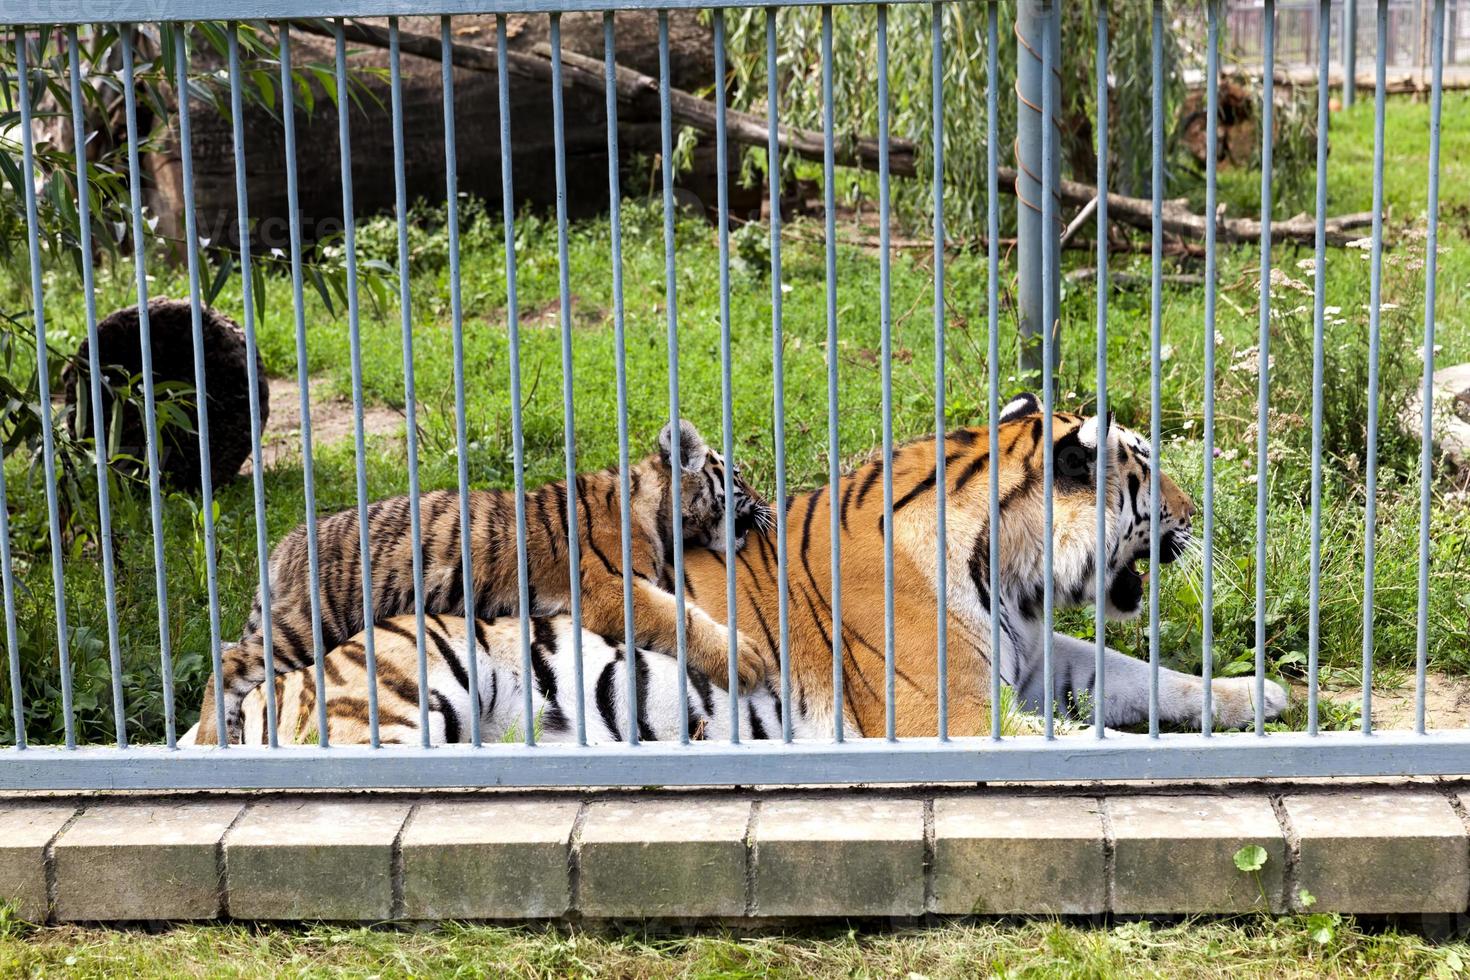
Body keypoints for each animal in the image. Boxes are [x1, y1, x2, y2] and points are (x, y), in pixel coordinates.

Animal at [195, 417, 782, 746]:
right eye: (738, 475)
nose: (767, 504)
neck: (656, 511)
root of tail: (282, 546)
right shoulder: (614, 590)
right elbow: (678, 616)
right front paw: (745, 659)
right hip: (308, 624)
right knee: (227, 662)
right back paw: (209, 741)